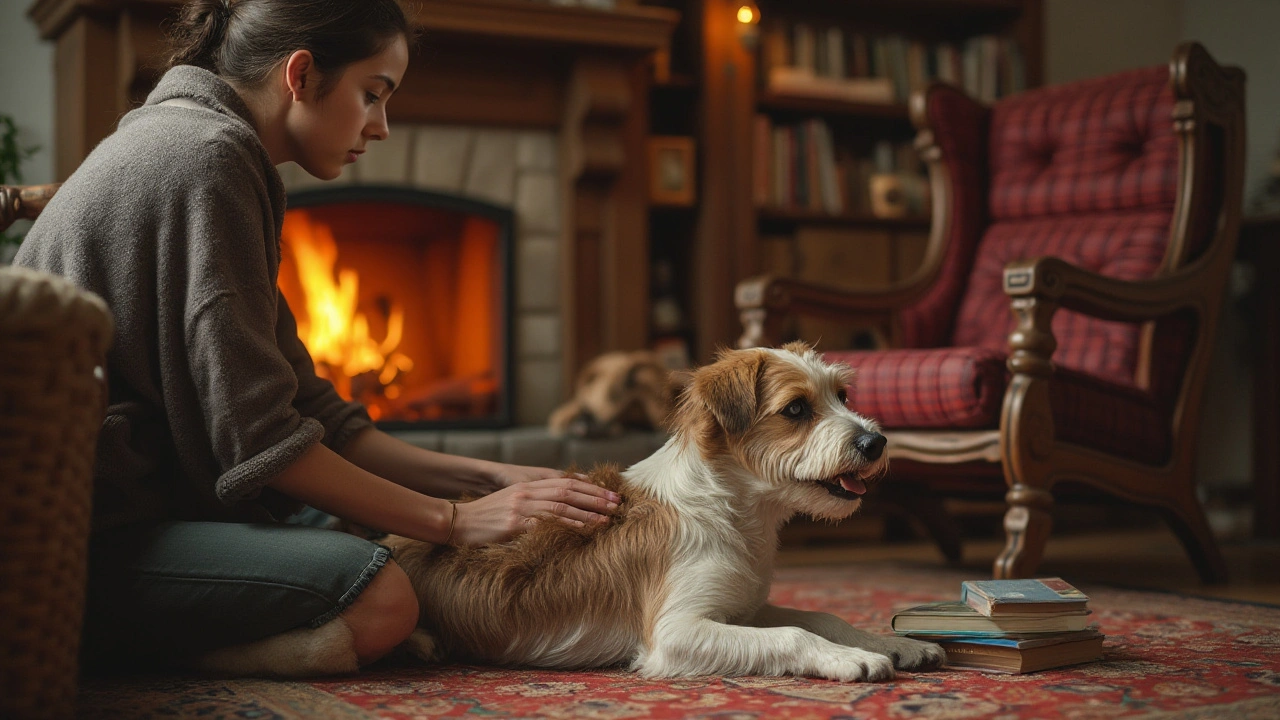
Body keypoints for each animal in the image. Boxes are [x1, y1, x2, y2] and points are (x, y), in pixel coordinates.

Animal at [384, 340, 947, 676]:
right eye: (795, 409)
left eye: (842, 396)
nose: (876, 443)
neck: (732, 510)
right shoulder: (678, 631)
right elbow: (792, 634)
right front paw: (849, 658)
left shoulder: (744, 608)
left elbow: (820, 614)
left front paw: (890, 643)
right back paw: (421, 643)